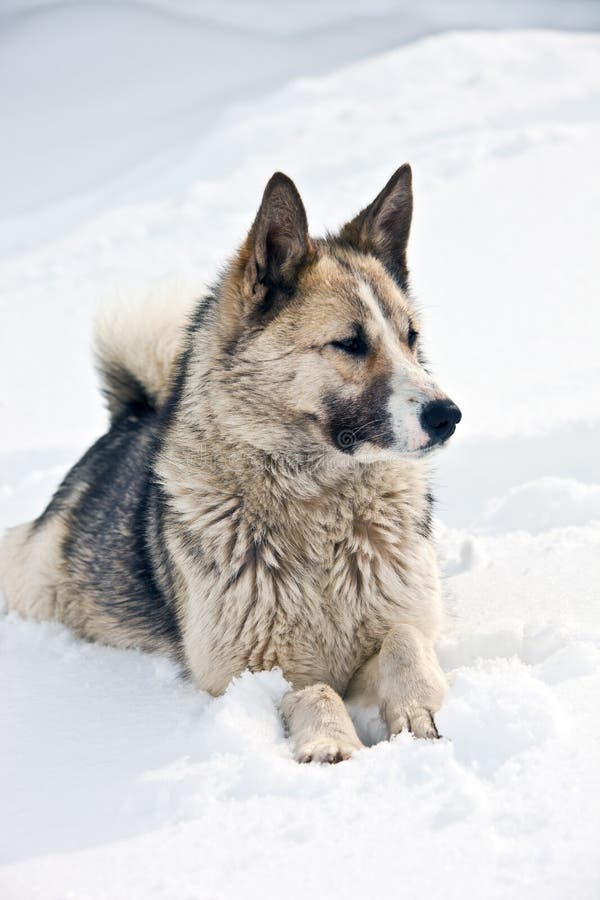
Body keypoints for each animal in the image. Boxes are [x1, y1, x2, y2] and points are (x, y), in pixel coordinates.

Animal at [0, 165, 462, 764]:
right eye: (349, 343)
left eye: (411, 338)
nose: (448, 415)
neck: (321, 508)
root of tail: (130, 416)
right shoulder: (249, 673)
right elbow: (315, 690)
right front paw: (331, 742)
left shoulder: (403, 623)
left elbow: (404, 642)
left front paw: (417, 715)